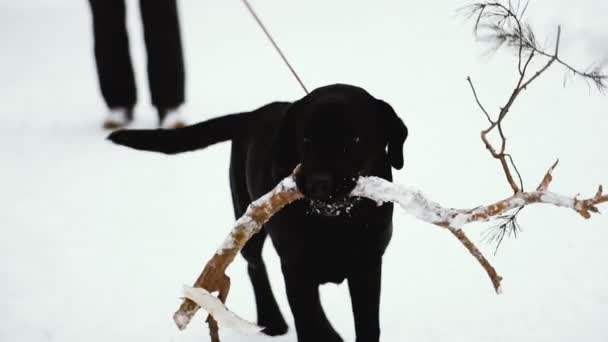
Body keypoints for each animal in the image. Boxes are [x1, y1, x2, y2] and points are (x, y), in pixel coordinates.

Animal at [108, 83, 408, 342]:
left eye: (355, 139)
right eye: (306, 139)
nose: (318, 183)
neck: (334, 222)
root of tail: (250, 115)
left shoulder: (368, 265)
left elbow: (367, 326)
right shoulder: (294, 266)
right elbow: (309, 323)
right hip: (246, 216)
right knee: (255, 266)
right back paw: (273, 320)